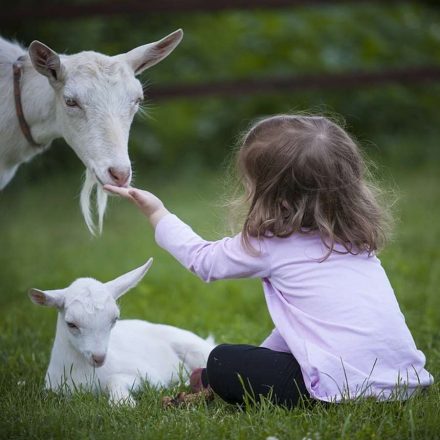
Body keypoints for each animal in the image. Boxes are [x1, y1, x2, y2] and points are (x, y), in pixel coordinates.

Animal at [27, 258, 215, 406]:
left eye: (114, 319)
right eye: (71, 324)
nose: (99, 357)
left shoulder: (150, 376)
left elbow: (115, 379)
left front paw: (122, 402)